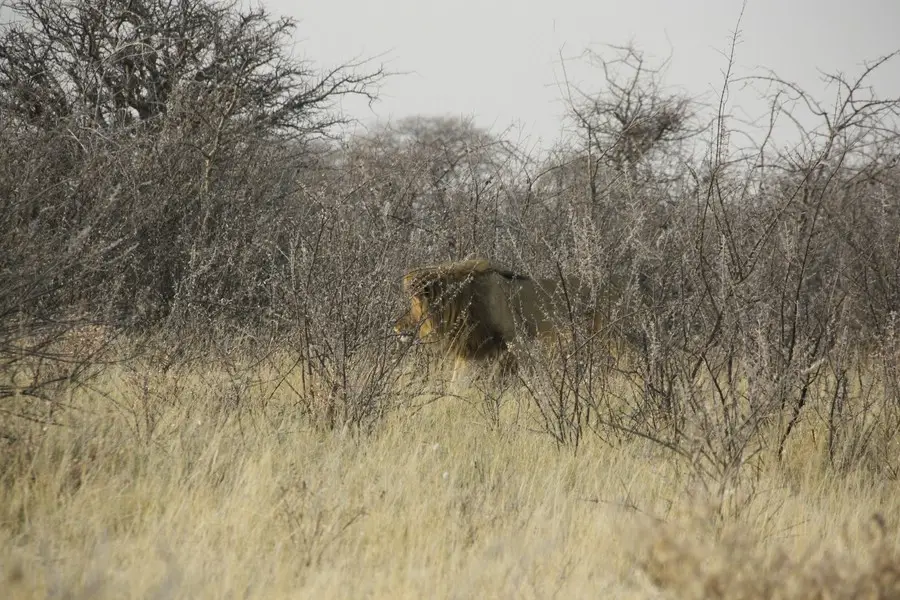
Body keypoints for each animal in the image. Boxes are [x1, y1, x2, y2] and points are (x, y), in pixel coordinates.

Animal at [393, 258, 605, 382]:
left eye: (413, 305)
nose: (395, 326)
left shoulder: (519, 342)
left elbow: (532, 376)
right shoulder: (471, 350)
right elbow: (457, 382)